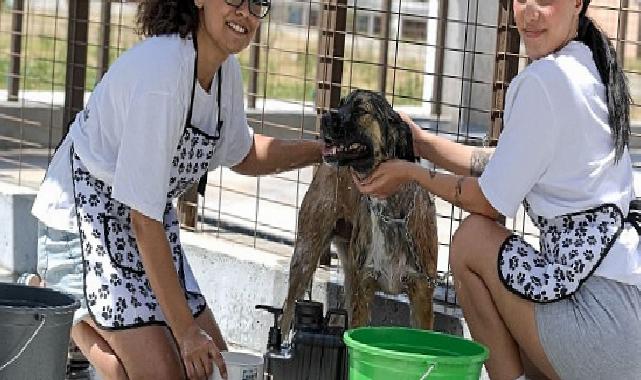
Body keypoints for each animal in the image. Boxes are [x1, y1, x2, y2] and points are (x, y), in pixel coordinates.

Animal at [282, 90, 438, 332]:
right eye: (341, 104)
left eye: (360, 110)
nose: (325, 118)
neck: (389, 212)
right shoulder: (362, 289)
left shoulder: (422, 293)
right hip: (305, 258)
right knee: (286, 315)